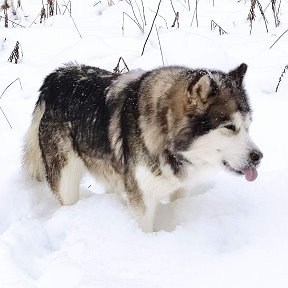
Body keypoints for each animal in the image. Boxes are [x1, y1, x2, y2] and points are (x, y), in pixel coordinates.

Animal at [23, 62, 264, 232]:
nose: (258, 156)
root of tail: (56, 75)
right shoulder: (142, 199)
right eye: (230, 127)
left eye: (248, 126)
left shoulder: (179, 189)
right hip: (67, 181)